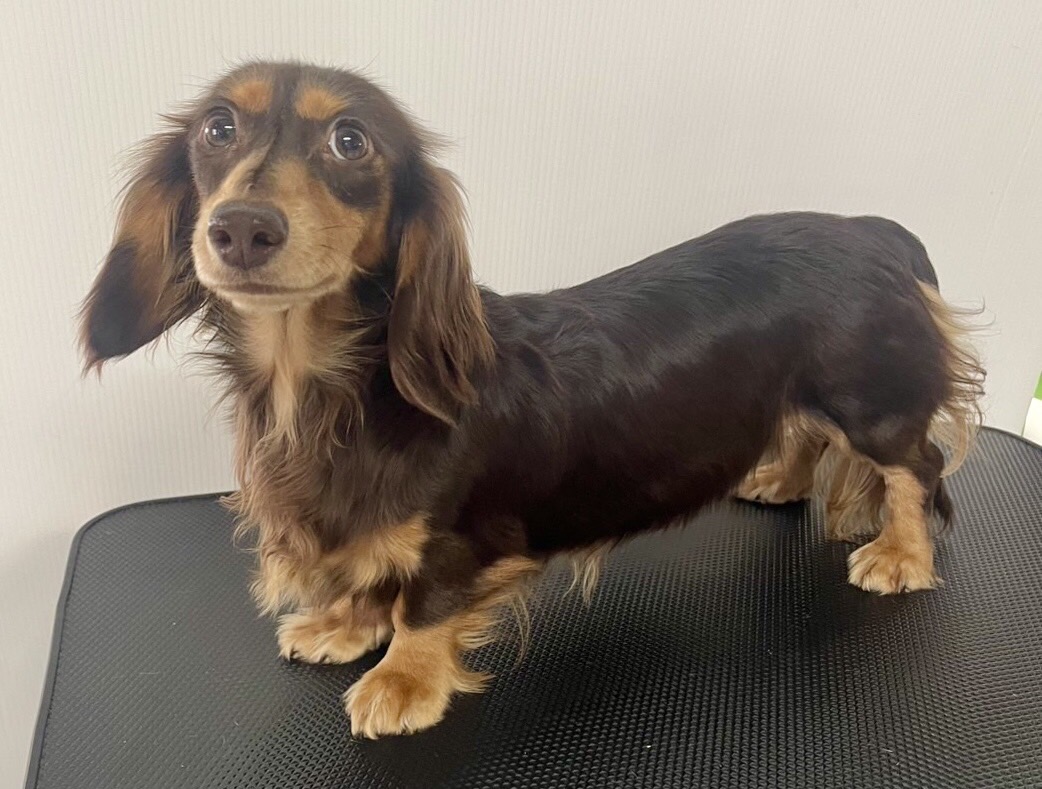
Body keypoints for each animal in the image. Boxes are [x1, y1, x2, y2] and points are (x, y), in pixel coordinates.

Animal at [80, 61, 984, 738]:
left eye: (350, 140)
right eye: (217, 129)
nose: (241, 228)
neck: (334, 390)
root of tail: (871, 230)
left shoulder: (462, 532)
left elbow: (423, 601)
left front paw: (402, 680)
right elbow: (375, 572)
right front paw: (344, 622)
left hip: (869, 400)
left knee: (916, 466)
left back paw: (900, 557)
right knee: (810, 434)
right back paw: (780, 480)